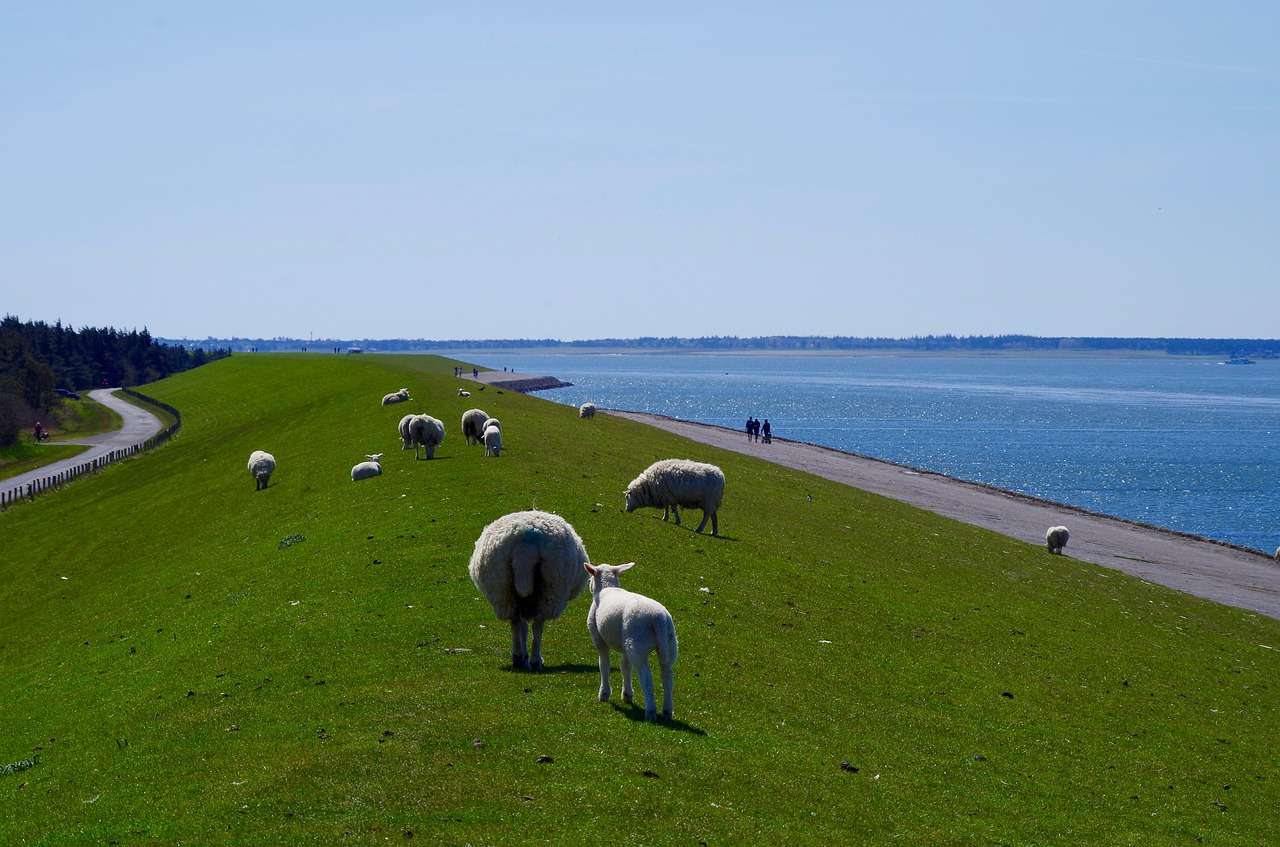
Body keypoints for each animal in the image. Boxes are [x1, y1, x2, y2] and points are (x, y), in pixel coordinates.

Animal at [468, 506, 591, 675]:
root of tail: (526, 538)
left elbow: (523, 627)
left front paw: (523, 656)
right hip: (552, 587)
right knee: (538, 626)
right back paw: (535, 661)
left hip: (503, 589)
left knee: (515, 621)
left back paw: (518, 658)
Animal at [583, 562, 675, 721]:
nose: (589, 584)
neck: (607, 587)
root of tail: (659, 619)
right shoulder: (624, 645)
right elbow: (625, 667)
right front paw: (627, 694)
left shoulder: (599, 638)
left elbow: (604, 664)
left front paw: (604, 694)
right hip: (668, 643)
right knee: (667, 676)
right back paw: (667, 711)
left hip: (637, 644)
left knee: (646, 677)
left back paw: (651, 711)